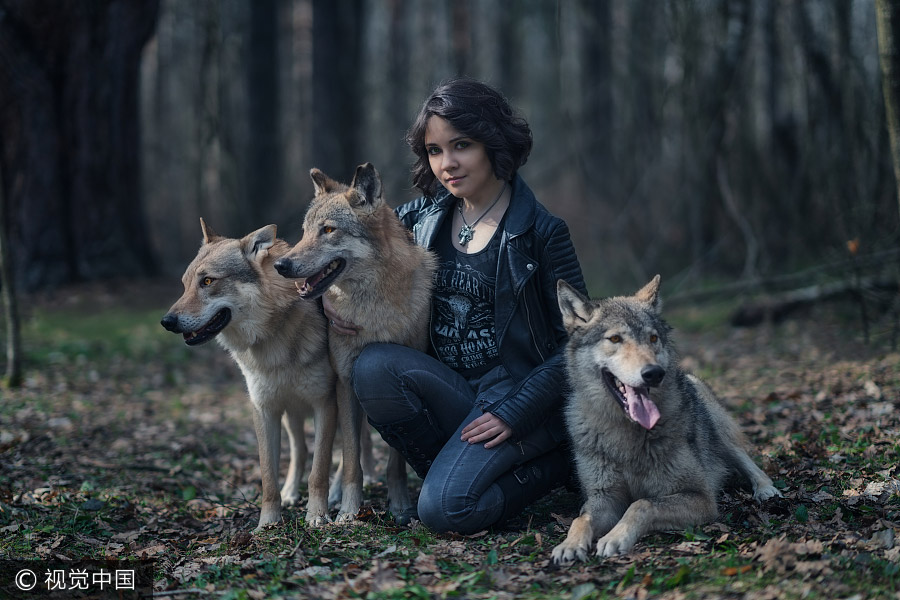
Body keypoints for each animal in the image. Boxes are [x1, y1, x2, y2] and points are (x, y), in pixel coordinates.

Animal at [160, 220, 336, 528]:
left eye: (208, 282)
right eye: (185, 284)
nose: (167, 321)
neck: (273, 339)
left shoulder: (324, 405)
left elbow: (320, 470)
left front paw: (316, 516)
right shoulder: (264, 409)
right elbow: (268, 476)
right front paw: (268, 523)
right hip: (291, 412)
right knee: (300, 450)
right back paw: (290, 493)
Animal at [272, 162, 438, 524]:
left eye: (328, 230)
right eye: (305, 231)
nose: (281, 265)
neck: (375, 312)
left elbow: (395, 461)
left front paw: (400, 505)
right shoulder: (346, 381)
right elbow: (350, 460)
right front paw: (349, 512)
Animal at [552, 276, 776, 564]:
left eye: (653, 338)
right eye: (615, 338)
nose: (653, 373)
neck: (627, 434)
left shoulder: (701, 498)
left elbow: (641, 504)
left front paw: (615, 538)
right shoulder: (604, 497)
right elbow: (581, 519)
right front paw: (569, 545)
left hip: (721, 434)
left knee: (749, 461)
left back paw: (765, 490)